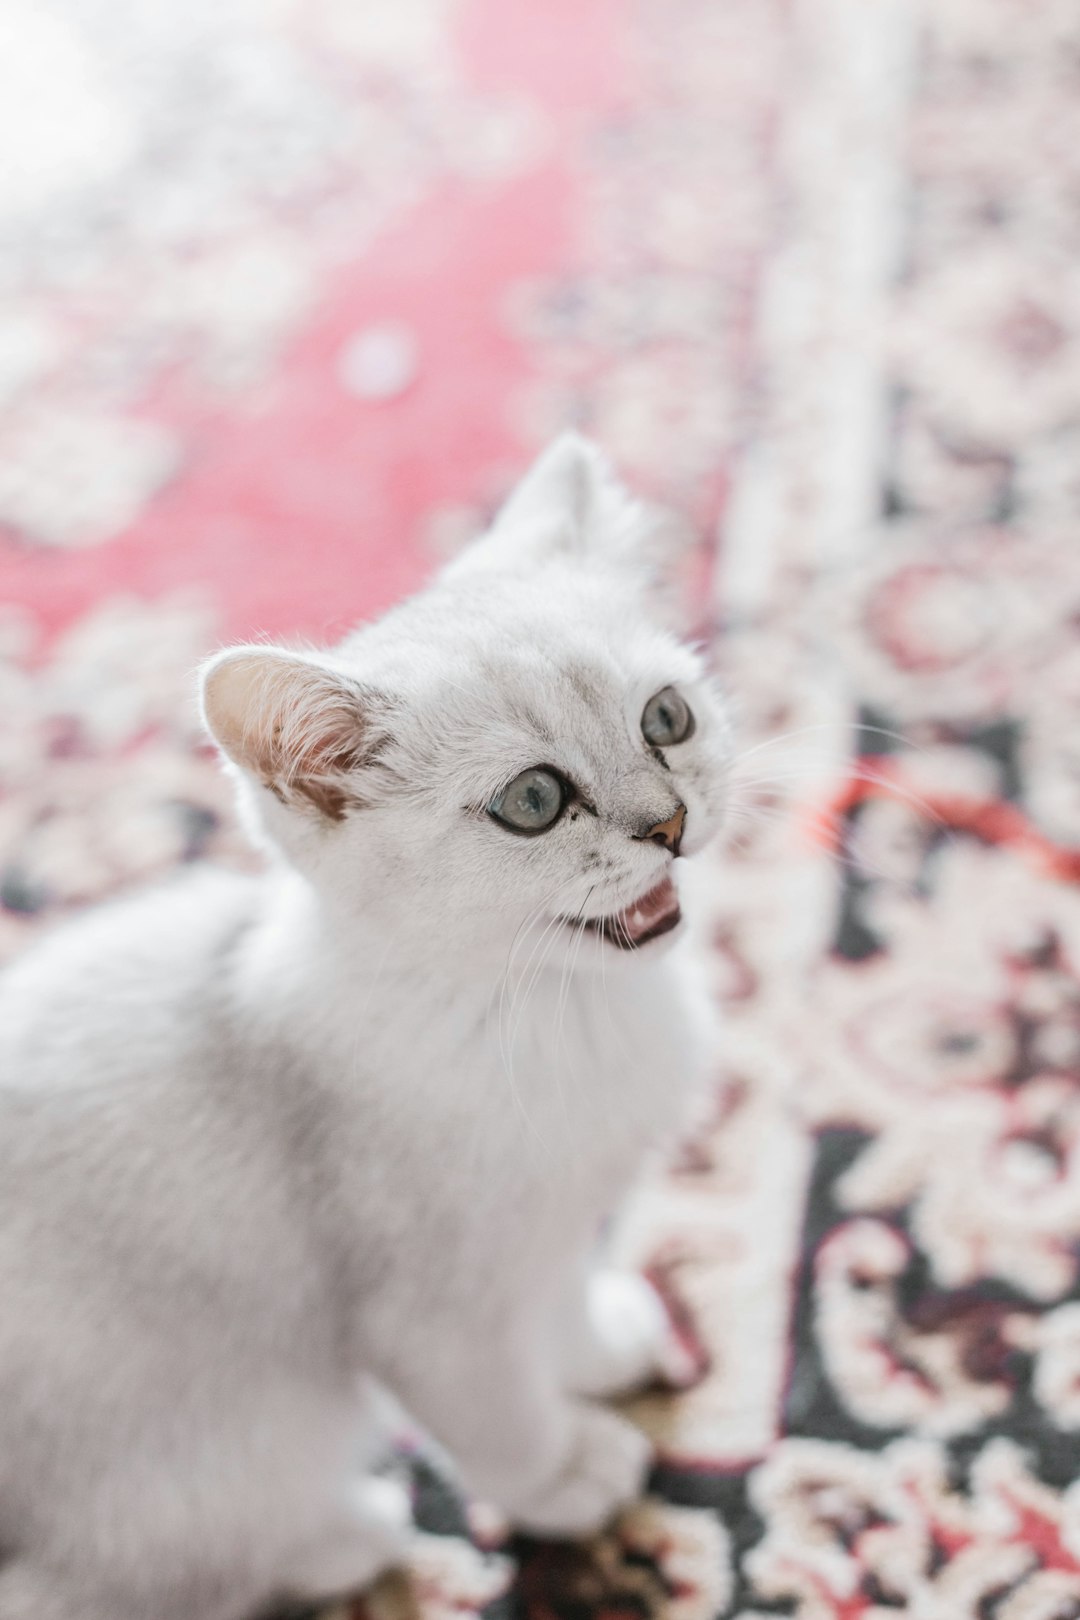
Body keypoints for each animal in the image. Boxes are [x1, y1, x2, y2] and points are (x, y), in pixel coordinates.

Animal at [0, 437, 731, 1620]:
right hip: (256, 1427)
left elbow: (560, 1305)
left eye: (667, 719)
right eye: (534, 801)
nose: (668, 824)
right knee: (116, 1581)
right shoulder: (431, 1312)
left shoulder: (555, 1225)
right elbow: (499, 1414)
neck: (561, 1019)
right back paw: (352, 1538)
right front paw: (568, 1476)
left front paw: (598, 1354)